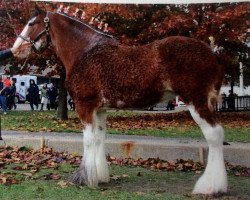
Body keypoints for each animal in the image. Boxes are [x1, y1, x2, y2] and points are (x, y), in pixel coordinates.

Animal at [11, 7, 227, 195]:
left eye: (31, 24)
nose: (15, 49)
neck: (84, 51)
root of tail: (212, 53)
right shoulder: (99, 109)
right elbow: (99, 138)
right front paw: (99, 176)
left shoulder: (84, 106)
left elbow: (88, 140)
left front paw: (84, 178)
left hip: (196, 101)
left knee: (214, 135)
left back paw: (210, 187)